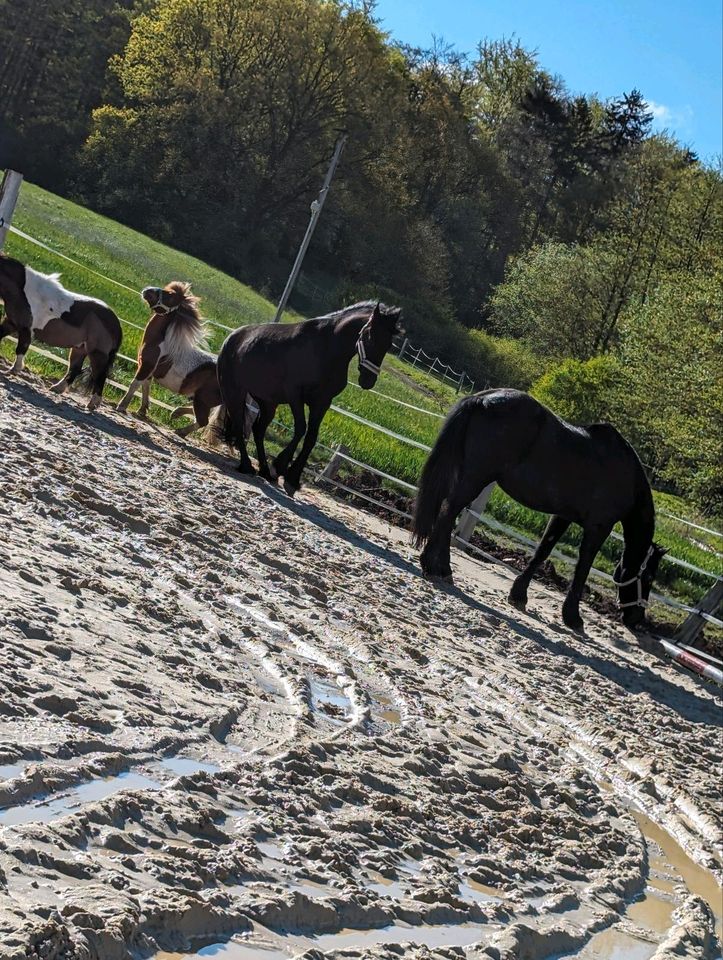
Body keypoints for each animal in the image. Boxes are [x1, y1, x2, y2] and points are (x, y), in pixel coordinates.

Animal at [0, 251, 122, 408]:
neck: (24, 291)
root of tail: (116, 323)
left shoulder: (26, 329)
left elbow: (21, 349)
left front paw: (14, 370)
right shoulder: (11, 323)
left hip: (97, 354)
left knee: (100, 375)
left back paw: (92, 404)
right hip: (79, 348)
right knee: (74, 369)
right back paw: (57, 388)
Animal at [116, 284, 221, 436]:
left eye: (170, 296)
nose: (148, 290)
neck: (159, 343)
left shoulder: (145, 367)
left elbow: (134, 385)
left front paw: (122, 406)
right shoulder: (148, 371)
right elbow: (145, 387)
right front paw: (142, 410)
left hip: (203, 400)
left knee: (203, 421)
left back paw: (180, 431)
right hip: (202, 400)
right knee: (199, 415)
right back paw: (176, 413)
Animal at [218, 302, 404, 496]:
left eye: (388, 344)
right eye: (369, 336)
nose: (368, 380)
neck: (325, 350)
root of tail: (232, 337)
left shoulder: (322, 403)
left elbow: (311, 437)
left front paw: (292, 479)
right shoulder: (295, 395)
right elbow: (301, 428)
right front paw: (280, 466)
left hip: (268, 403)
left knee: (258, 430)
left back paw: (264, 470)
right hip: (234, 392)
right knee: (239, 425)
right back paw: (247, 466)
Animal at [412, 388, 668, 632]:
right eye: (648, 576)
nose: (636, 619)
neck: (626, 475)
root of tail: (483, 398)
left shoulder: (563, 516)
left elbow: (542, 552)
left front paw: (518, 595)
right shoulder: (598, 528)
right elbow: (582, 569)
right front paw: (573, 617)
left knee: (448, 513)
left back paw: (438, 566)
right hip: (476, 478)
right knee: (448, 511)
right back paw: (436, 567)